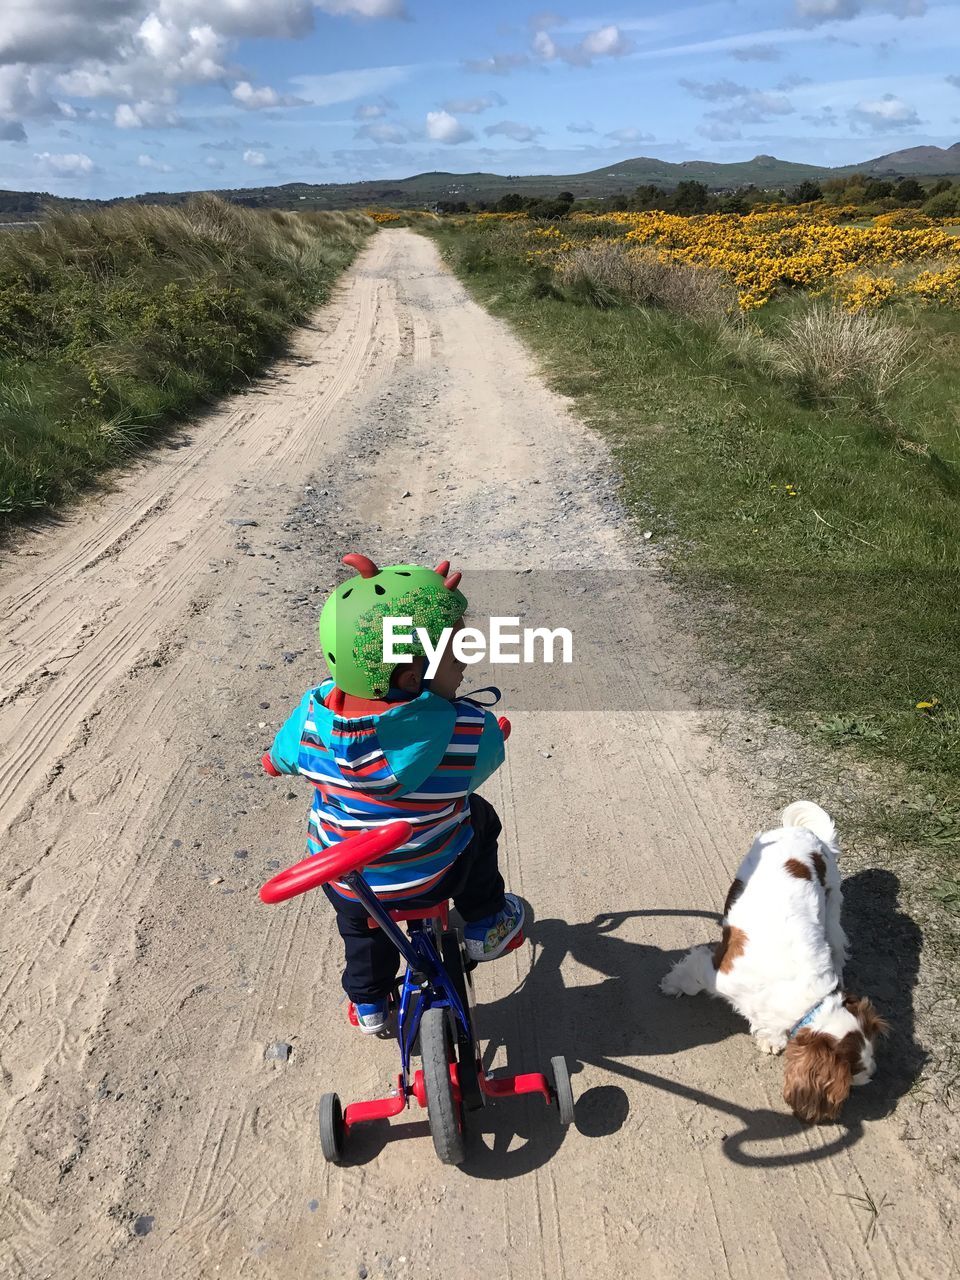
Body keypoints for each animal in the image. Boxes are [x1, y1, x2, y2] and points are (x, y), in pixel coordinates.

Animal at [660, 803, 885, 1126]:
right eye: (853, 1069)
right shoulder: (714, 969)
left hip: (831, 903)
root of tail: (804, 831)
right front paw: (670, 985)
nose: (874, 1073)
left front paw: (770, 1037)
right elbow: (689, 978)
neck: (809, 1000)